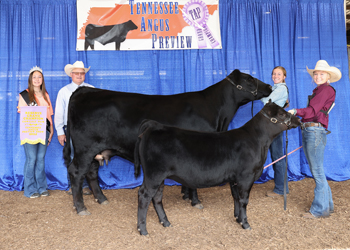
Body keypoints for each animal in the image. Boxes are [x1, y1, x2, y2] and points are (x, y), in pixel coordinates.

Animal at [63, 70, 272, 215]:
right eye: (249, 79)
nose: (269, 86)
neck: (218, 115)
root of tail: (83, 90)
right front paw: (195, 201)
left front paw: (185, 194)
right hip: (85, 148)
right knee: (76, 172)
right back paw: (81, 208)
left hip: (96, 149)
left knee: (91, 172)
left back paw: (102, 199)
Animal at [134, 101, 300, 234]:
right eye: (281, 113)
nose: (298, 119)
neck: (258, 142)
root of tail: (154, 126)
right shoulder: (246, 176)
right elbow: (244, 200)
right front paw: (246, 223)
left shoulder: (234, 178)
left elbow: (236, 197)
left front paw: (238, 218)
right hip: (154, 175)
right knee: (144, 195)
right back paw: (142, 229)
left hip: (159, 177)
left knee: (157, 197)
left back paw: (165, 222)